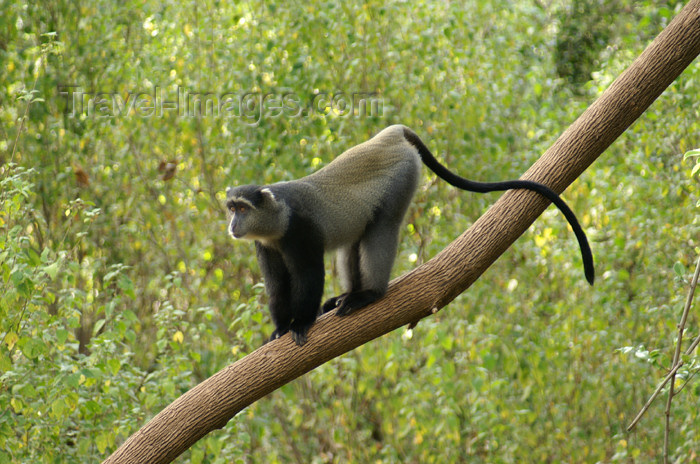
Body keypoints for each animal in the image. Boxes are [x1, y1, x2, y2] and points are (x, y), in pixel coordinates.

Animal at [227, 125, 592, 346]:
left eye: (242, 208)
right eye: (231, 207)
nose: (231, 225)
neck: (278, 218)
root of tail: (388, 135)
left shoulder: (301, 233)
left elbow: (308, 276)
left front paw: (300, 323)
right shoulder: (266, 245)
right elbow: (276, 285)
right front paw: (279, 328)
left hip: (402, 177)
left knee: (382, 229)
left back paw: (368, 294)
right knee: (356, 239)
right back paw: (347, 295)